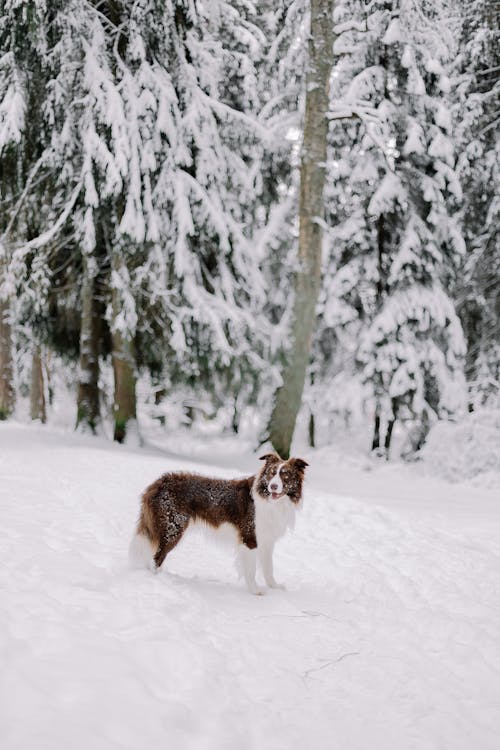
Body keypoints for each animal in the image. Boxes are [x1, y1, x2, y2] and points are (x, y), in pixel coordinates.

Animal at [129, 456, 308, 596]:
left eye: (285, 475)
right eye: (272, 473)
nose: (273, 486)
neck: (272, 502)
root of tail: (159, 482)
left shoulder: (267, 541)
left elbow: (269, 568)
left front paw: (274, 587)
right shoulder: (250, 538)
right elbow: (251, 570)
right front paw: (255, 591)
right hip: (173, 529)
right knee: (156, 557)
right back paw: (159, 581)